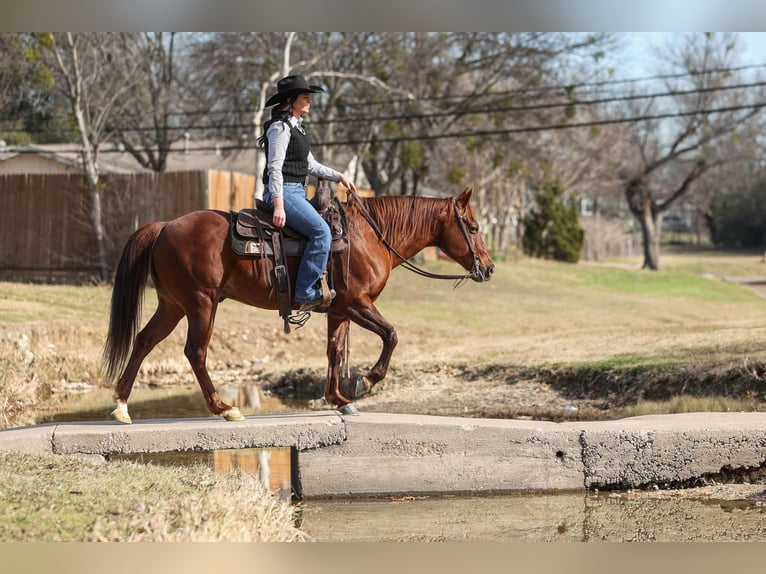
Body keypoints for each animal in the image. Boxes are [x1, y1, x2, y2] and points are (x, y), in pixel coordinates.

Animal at [102, 187, 496, 426]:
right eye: (474, 227)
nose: (489, 268)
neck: (369, 236)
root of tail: (165, 226)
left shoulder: (339, 310)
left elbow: (335, 351)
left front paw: (338, 399)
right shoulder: (358, 303)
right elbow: (391, 335)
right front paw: (365, 381)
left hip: (172, 305)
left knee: (144, 341)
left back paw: (121, 406)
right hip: (201, 303)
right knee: (195, 351)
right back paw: (224, 408)